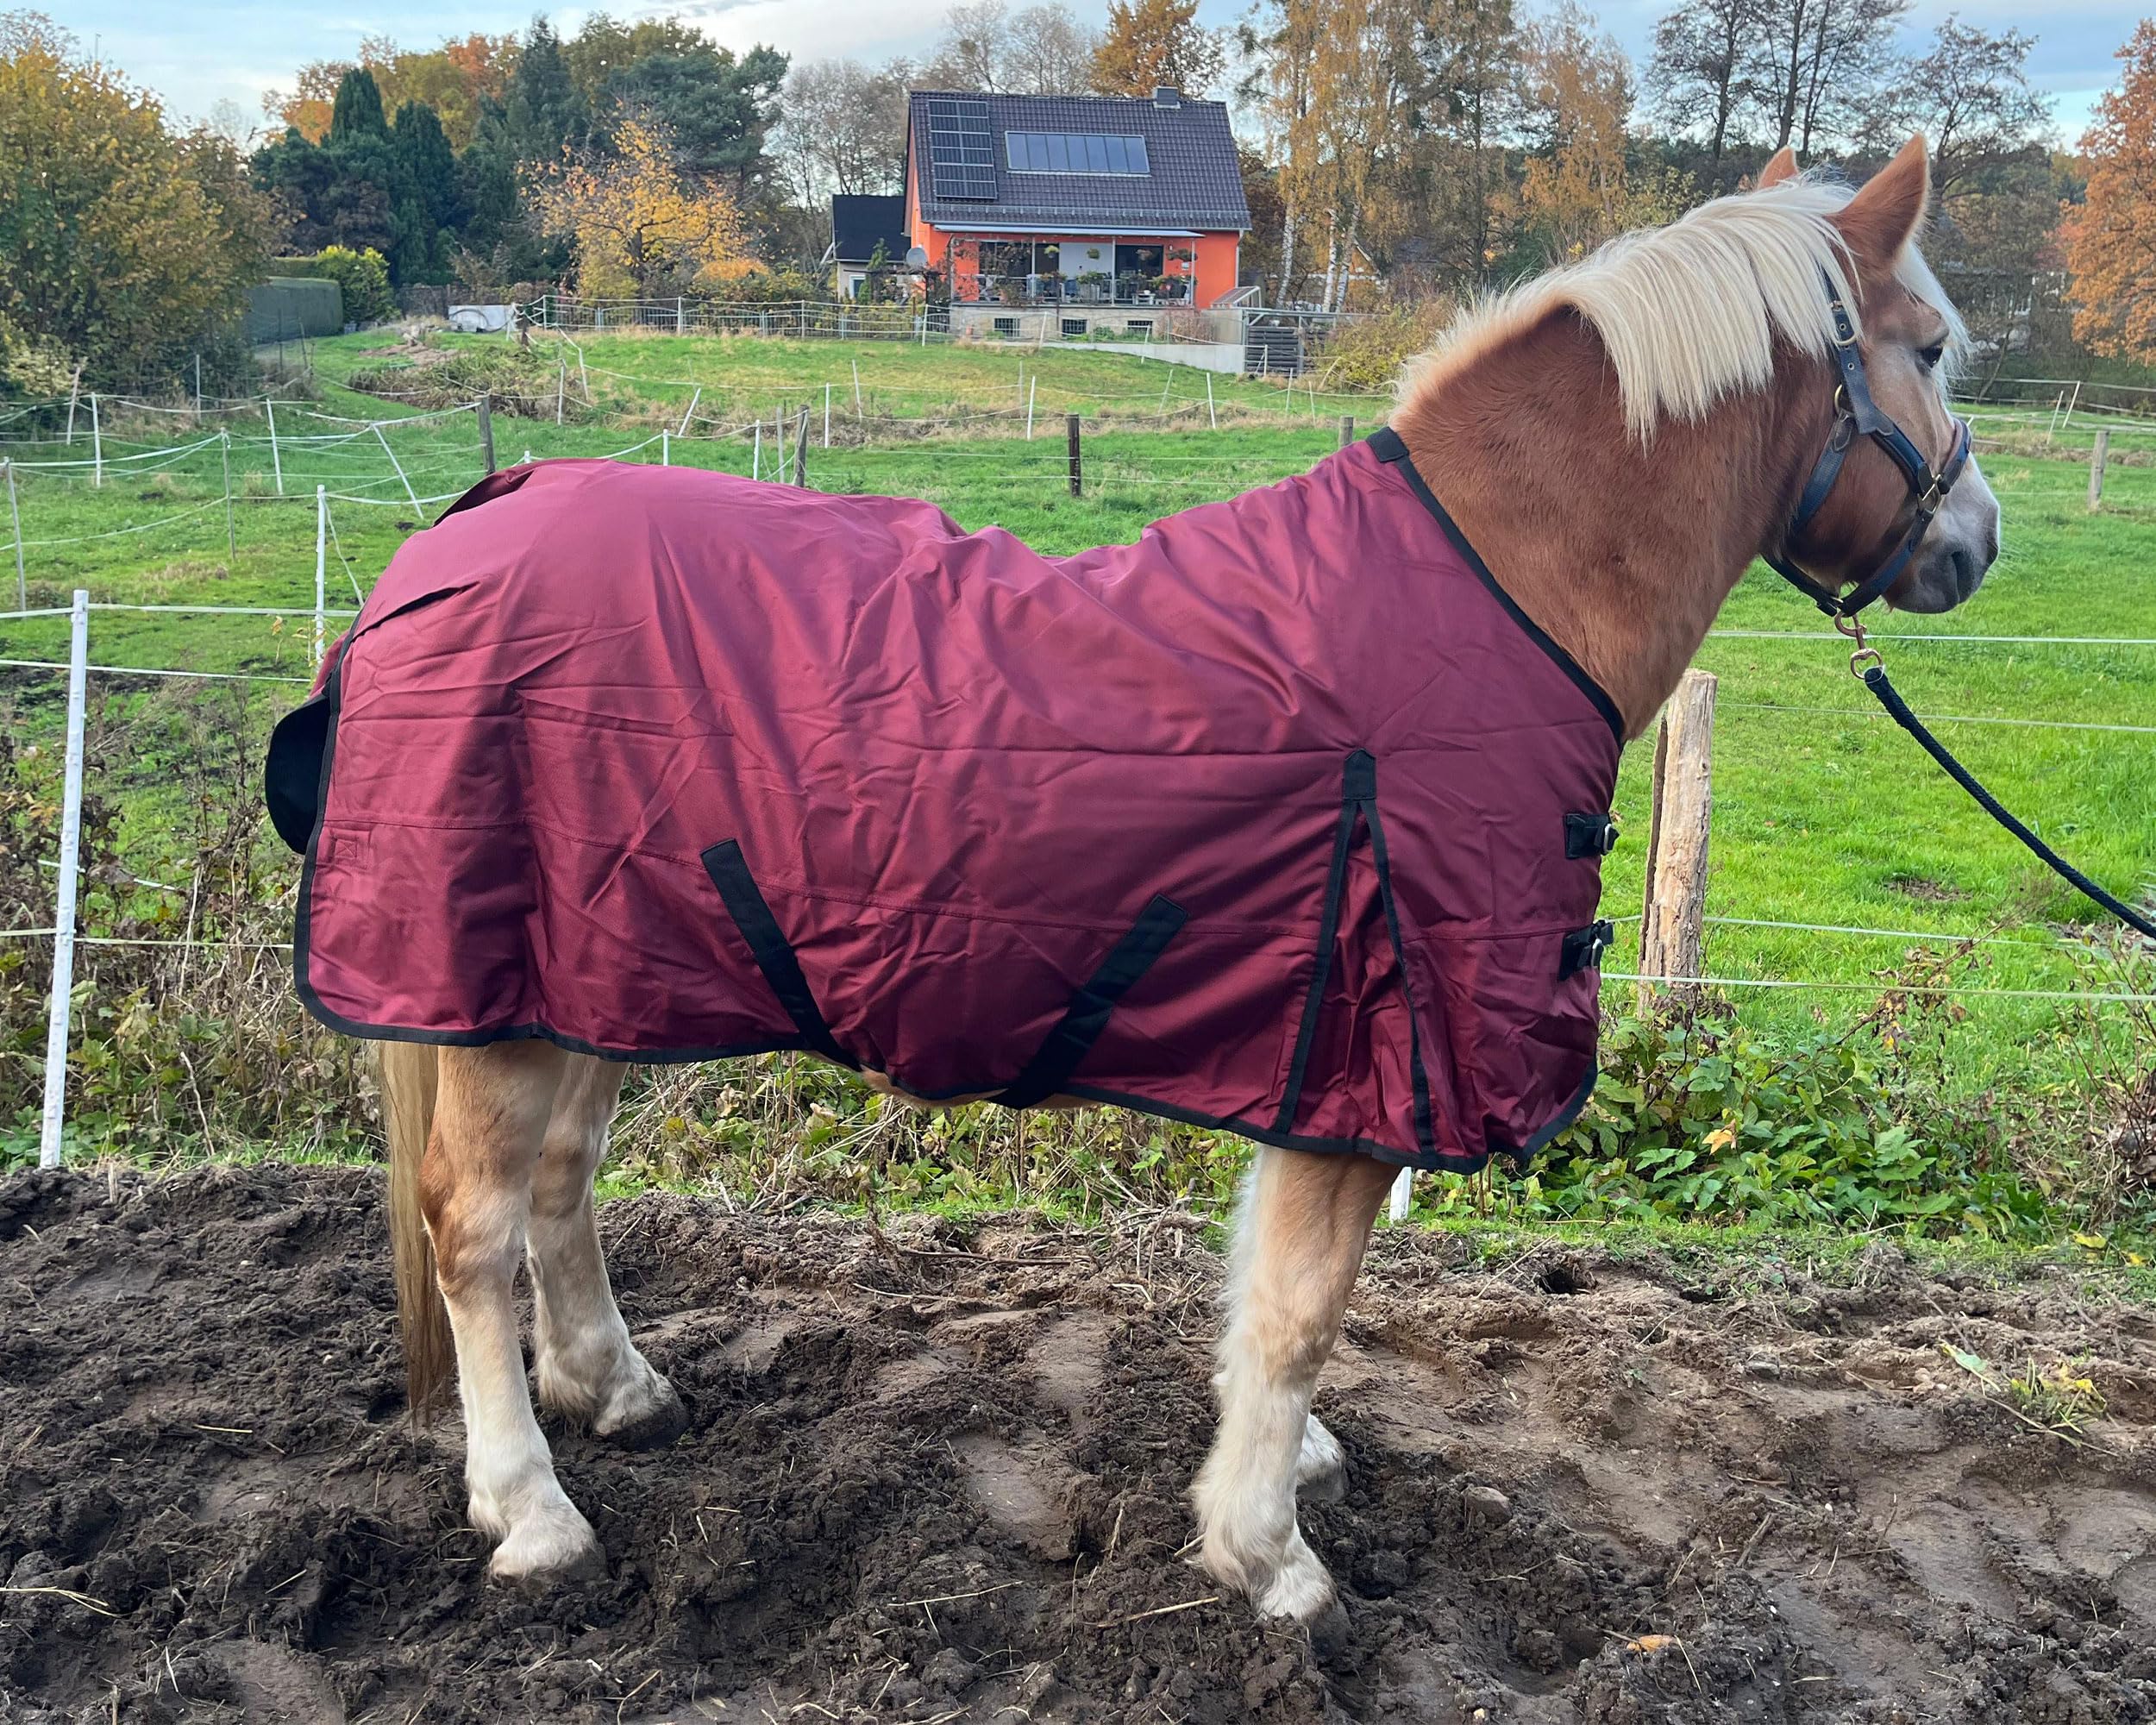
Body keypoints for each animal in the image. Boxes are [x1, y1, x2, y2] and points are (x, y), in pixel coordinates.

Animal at [272, 134, 1998, 1620]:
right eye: (1929, 347)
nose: (1974, 543)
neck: (1498, 593)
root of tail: (451, 540)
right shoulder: (1362, 1064)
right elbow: (1299, 1309)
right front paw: (1268, 1556)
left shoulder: (1310, 1060)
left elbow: (1261, 1301)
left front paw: (1281, 1475)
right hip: (500, 999)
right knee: (473, 1228)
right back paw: (532, 1510)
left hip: (587, 976)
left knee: (559, 1187)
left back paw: (617, 1391)